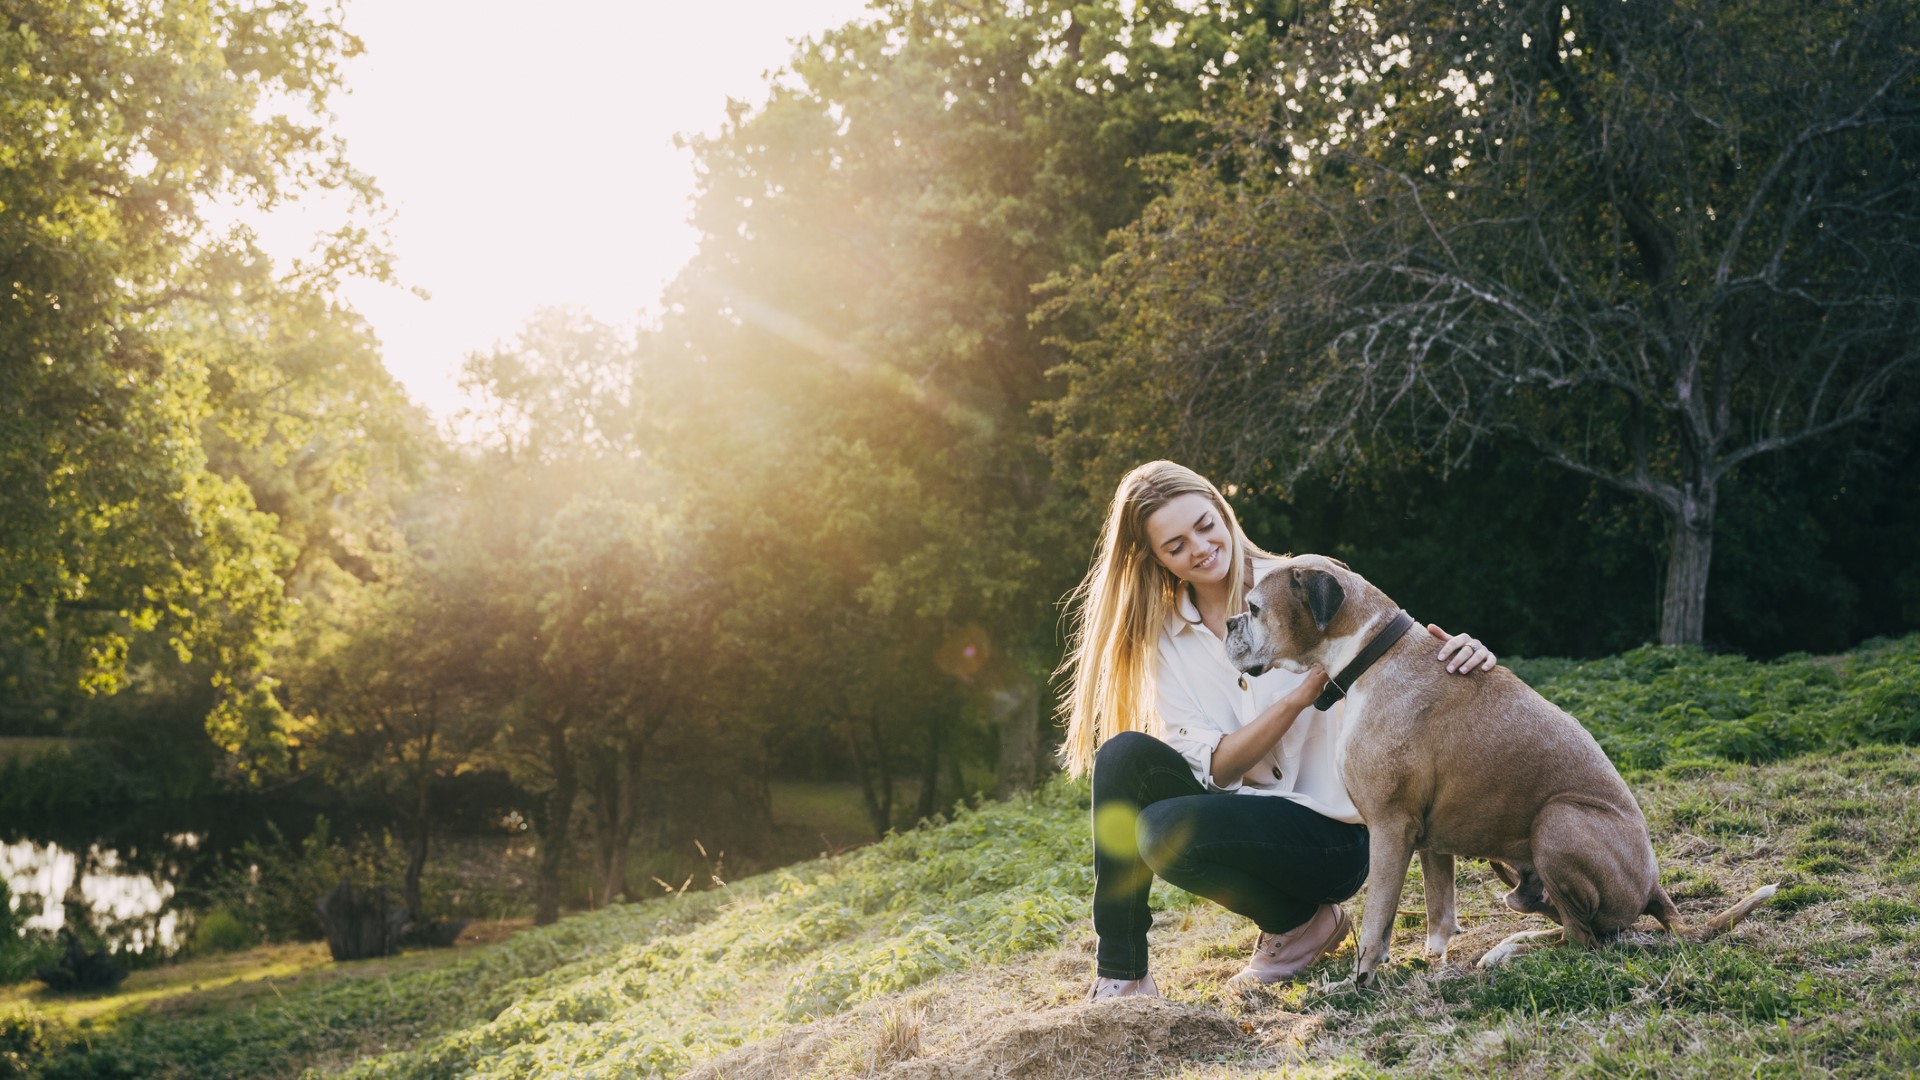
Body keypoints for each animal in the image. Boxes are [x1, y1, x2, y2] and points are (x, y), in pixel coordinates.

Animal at [1221, 553, 1774, 983]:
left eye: (1254, 608)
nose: (1227, 624)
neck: (1372, 651)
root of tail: (1655, 885)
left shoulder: (1390, 826)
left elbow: (1378, 918)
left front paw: (1358, 983)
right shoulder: (1429, 840)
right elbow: (1439, 912)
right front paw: (1433, 959)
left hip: (1557, 820)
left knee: (1586, 942)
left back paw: (1515, 953)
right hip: (1518, 878)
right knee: (1582, 930)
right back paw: (1513, 943)